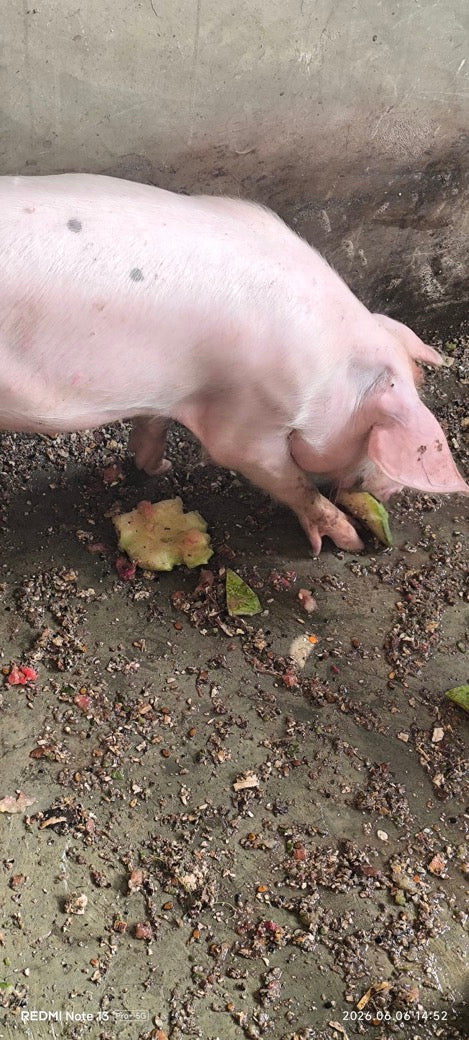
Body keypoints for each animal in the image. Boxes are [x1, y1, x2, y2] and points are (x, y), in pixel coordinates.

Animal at [0, 173, 467, 554]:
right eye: (373, 434)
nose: (391, 493)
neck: (332, 373)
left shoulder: (172, 394)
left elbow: (153, 426)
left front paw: (160, 468)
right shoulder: (248, 421)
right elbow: (288, 479)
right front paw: (347, 542)